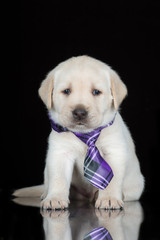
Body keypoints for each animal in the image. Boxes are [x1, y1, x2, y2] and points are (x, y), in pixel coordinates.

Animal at [13, 55, 144, 209]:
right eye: (66, 91)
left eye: (96, 92)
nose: (80, 112)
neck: (86, 135)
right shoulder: (60, 153)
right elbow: (58, 179)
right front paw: (55, 198)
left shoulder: (114, 151)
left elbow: (112, 181)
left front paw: (109, 198)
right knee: (49, 185)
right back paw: (46, 194)